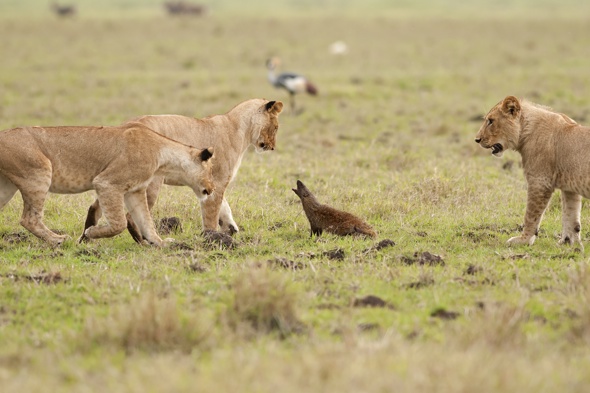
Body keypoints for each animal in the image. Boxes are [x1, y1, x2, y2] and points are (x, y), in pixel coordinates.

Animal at [0, 123, 216, 245]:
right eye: (212, 171)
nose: (212, 189)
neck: (163, 155)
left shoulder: (135, 191)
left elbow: (146, 221)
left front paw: (160, 243)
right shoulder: (107, 183)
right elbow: (119, 223)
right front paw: (90, 234)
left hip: (6, 187)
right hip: (39, 173)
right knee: (29, 219)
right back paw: (58, 240)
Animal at [81, 97, 284, 242]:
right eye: (276, 127)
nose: (273, 147)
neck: (239, 127)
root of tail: (124, 125)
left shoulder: (212, 182)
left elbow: (225, 208)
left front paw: (231, 229)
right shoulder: (218, 181)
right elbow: (212, 213)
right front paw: (212, 237)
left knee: (95, 207)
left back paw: (85, 238)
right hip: (150, 183)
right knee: (131, 216)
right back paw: (145, 242)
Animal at [476, 95, 590, 248]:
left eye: (491, 121)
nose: (477, 139)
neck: (525, 131)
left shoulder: (540, 181)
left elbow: (531, 215)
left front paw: (523, 240)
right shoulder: (569, 188)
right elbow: (571, 216)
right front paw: (568, 243)